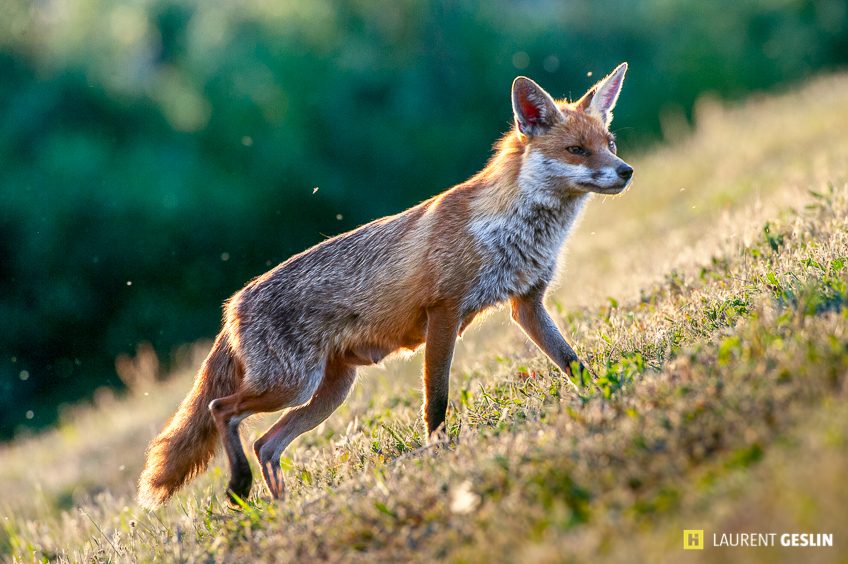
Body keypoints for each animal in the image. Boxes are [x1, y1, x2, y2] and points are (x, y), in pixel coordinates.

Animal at [138, 63, 633, 509]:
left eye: (608, 145)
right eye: (576, 149)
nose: (626, 170)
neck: (508, 228)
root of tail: (233, 305)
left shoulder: (526, 304)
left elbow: (572, 363)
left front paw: (608, 392)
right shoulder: (444, 313)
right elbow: (437, 400)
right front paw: (439, 452)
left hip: (328, 392)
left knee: (267, 443)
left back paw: (277, 510)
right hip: (292, 385)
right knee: (221, 410)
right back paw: (239, 488)